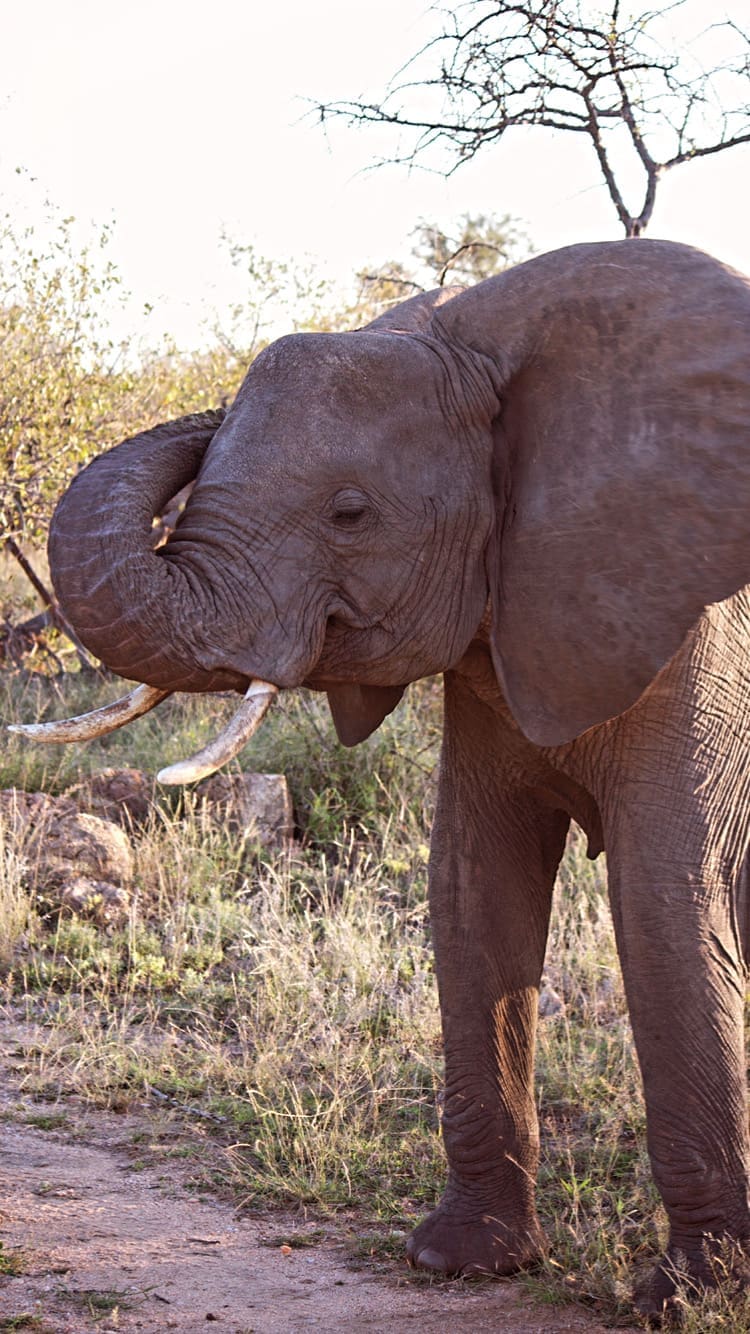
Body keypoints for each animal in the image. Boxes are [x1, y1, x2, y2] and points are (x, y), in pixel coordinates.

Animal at [13, 238, 750, 1317]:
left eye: (350, 512)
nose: (202, 409)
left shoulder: (698, 632)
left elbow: (664, 904)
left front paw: (685, 1298)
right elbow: (474, 888)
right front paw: (460, 1259)